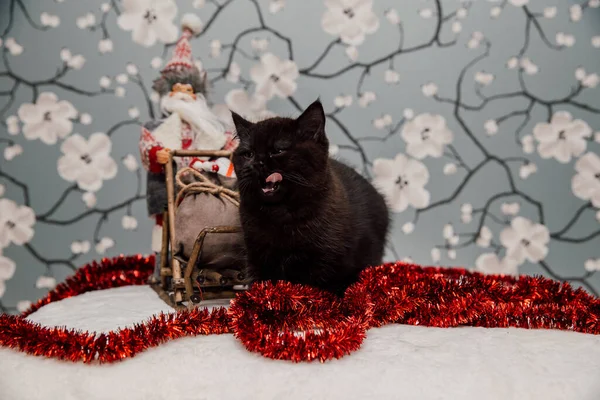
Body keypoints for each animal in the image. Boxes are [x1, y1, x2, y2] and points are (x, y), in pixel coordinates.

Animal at [230, 99, 390, 294]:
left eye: (278, 150)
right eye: (248, 154)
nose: (256, 163)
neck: (280, 215)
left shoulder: (322, 261)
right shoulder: (257, 255)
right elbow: (261, 284)